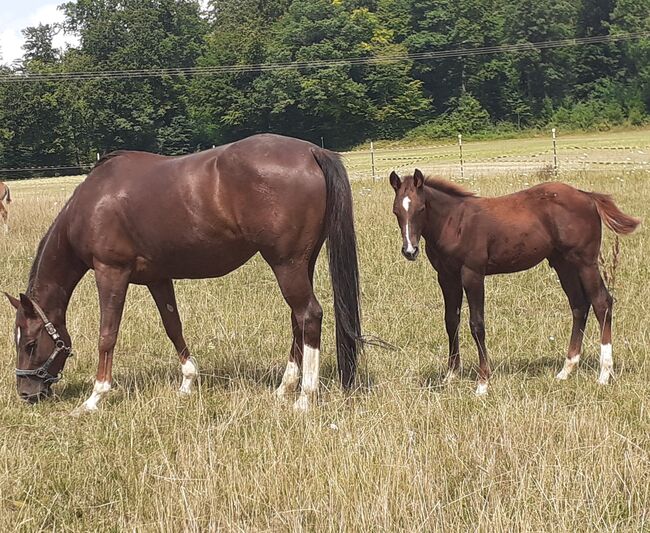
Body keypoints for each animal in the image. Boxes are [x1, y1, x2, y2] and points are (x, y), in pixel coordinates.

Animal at [3, 133, 360, 412]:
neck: (91, 205)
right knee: (297, 319)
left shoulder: (110, 272)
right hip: (301, 264)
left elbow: (107, 334)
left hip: (287, 264)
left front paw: (95, 397)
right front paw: (188, 381)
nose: (26, 393)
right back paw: (284, 388)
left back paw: (305, 398)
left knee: (309, 315)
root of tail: (311, 151)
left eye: (30, 343)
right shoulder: (157, 278)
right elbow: (173, 326)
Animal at [390, 170, 636, 394]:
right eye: (396, 212)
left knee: (602, 302)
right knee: (579, 305)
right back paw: (566, 370)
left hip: (585, 261)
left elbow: (477, 324)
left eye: (421, 209)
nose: (410, 250)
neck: (454, 222)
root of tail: (587, 196)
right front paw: (450, 375)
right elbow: (451, 321)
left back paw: (604, 374)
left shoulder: (472, 274)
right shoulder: (446, 276)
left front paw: (483, 383)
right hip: (563, 263)